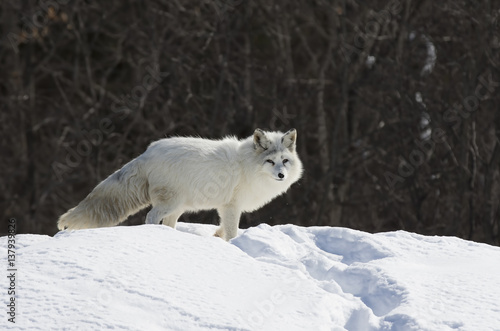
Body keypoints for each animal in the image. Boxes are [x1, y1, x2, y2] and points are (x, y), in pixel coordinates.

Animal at [56, 128, 302, 240]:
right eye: (270, 161)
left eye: (285, 161)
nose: (281, 175)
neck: (247, 167)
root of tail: (147, 153)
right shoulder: (230, 206)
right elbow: (232, 232)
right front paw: (234, 246)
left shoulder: (229, 208)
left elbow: (222, 229)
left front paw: (216, 238)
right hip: (170, 204)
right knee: (151, 217)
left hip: (178, 207)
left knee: (167, 223)